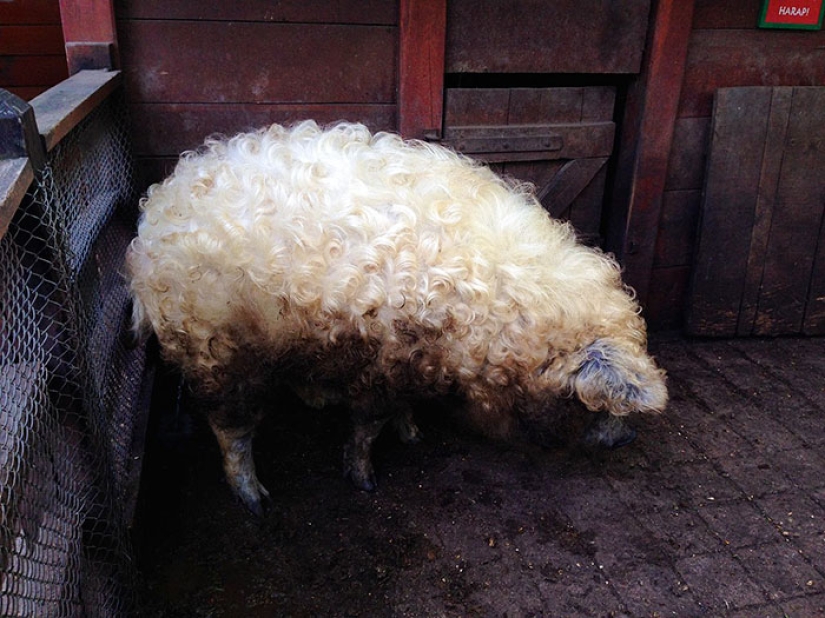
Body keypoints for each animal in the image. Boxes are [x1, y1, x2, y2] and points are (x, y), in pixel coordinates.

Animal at [127, 121, 667, 515]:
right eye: (594, 403)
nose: (629, 438)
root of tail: (154, 212)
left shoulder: (408, 357)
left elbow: (397, 411)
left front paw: (414, 436)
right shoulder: (383, 358)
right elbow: (369, 423)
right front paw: (366, 480)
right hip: (212, 345)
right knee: (230, 426)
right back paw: (256, 502)